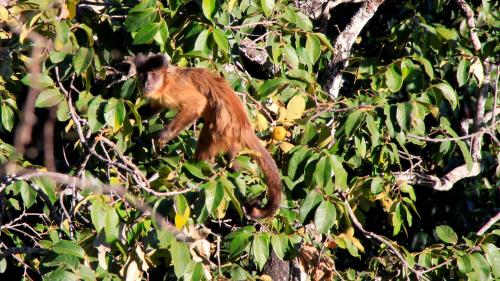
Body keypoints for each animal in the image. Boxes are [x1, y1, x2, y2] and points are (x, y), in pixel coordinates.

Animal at [133, 53, 282, 219]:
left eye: (153, 75)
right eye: (143, 75)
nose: (146, 83)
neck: (166, 80)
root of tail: (244, 127)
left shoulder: (173, 89)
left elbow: (197, 103)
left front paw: (162, 138)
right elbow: (155, 106)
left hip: (221, 132)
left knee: (206, 137)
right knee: (231, 158)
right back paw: (233, 167)